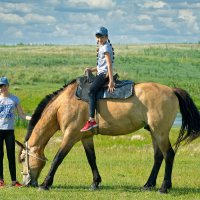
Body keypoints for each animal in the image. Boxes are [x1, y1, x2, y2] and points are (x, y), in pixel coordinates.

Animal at [16, 78, 200, 194]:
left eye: (23, 159)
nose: (26, 183)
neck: (64, 104)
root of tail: (172, 90)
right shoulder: (85, 137)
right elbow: (91, 158)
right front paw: (95, 182)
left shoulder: (70, 135)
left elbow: (58, 158)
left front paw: (45, 184)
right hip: (155, 132)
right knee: (158, 157)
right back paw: (148, 185)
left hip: (160, 132)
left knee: (168, 155)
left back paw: (164, 187)